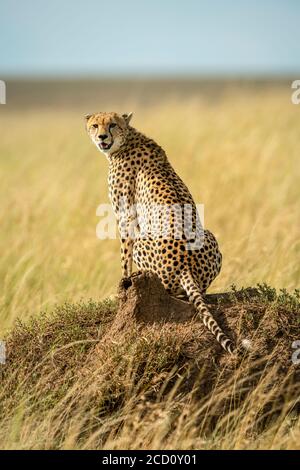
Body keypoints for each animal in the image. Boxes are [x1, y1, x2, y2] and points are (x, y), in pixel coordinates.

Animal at [85, 110, 236, 352]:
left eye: (112, 125)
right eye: (95, 125)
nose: (101, 137)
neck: (127, 139)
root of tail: (185, 265)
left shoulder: (125, 216)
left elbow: (124, 257)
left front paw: (121, 289)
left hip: (143, 243)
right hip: (210, 236)